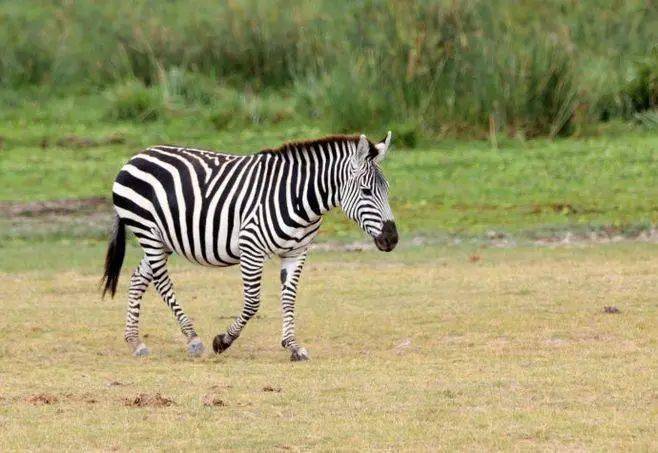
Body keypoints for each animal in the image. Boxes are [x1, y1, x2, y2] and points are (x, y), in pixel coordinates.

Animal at [100, 131, 398, 360]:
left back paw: (135, 341)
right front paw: (222, 341)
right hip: (147, 230)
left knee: (138, 278)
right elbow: (253, 302)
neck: (300, 199)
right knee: (162, 282)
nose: (392, 239)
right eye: (366, 191)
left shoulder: (297, 252)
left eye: (387, 190)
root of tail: (137, 156)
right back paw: (193, 339)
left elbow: (289, 298)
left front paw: (293, 346)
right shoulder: (251, 247)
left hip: (164, 239)